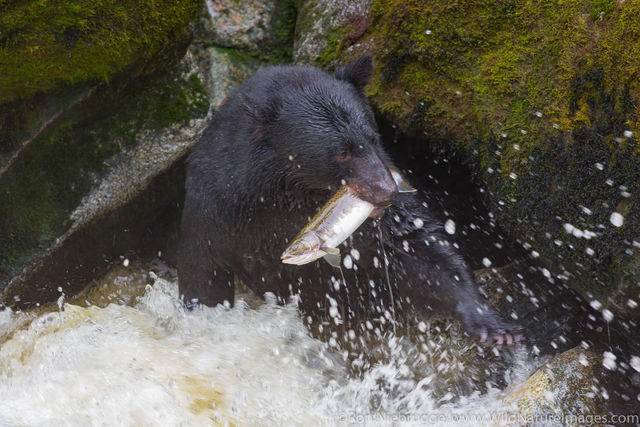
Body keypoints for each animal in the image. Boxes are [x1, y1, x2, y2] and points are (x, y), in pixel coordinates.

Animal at [178, 55, 524, 346]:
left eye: (373, 137)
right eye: (341, 152)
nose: (387, 190)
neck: (286, 193)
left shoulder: (380, 213)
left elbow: (420, 247)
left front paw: (493, 325)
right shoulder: (216, 210)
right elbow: (202, 272)